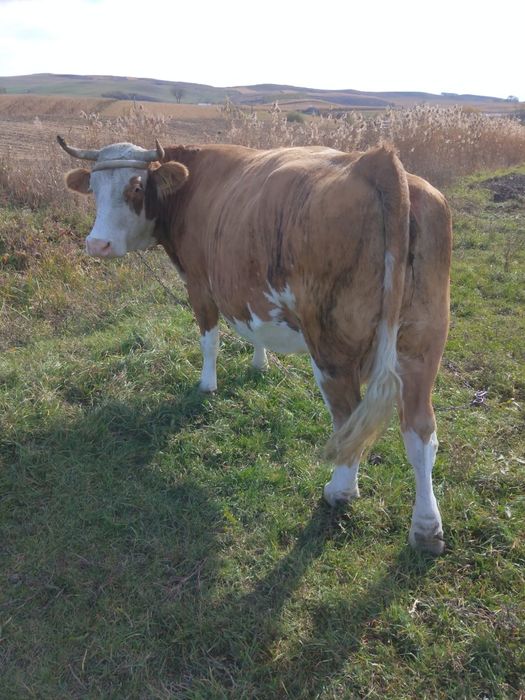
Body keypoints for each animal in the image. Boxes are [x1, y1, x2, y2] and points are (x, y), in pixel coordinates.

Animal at [58, 135, 452, 555]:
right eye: (94, 188)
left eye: (135, 187)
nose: (97, 244)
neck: (193, 184)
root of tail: (376, 161)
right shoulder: (245, 288)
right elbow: (254, 329)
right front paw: (259, 364)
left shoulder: (199, 283)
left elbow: (210, 340)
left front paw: (207, 386)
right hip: (421, 344)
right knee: (420, 431)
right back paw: (427, 527)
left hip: (331, 349)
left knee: (348, 421)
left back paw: (340, 491)